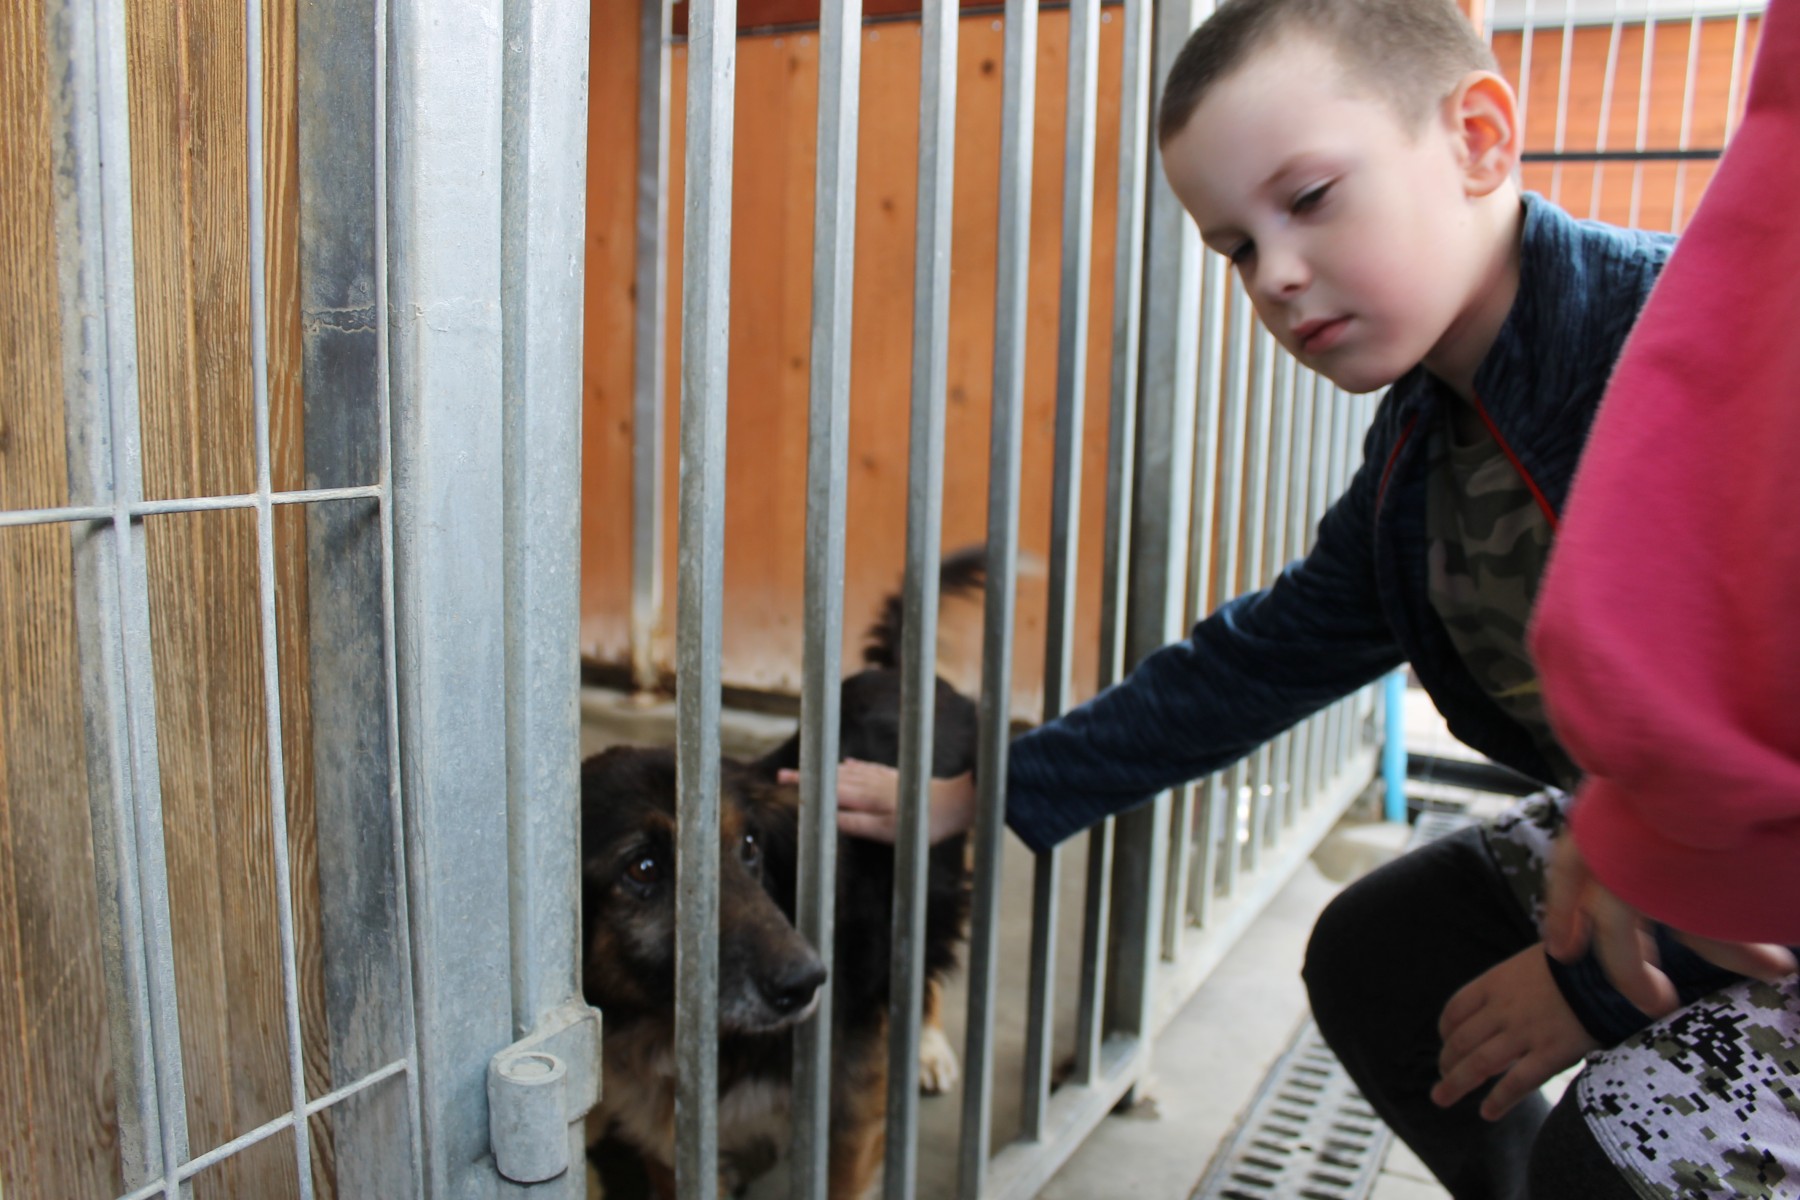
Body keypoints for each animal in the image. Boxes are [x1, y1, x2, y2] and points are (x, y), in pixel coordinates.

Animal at [582, 551, 983, 1199]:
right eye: (642, 868)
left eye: (749, 847)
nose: (808, 981)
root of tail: (899, 672)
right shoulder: (673, 1145)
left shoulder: (849, 1106)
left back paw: (927, 1049)